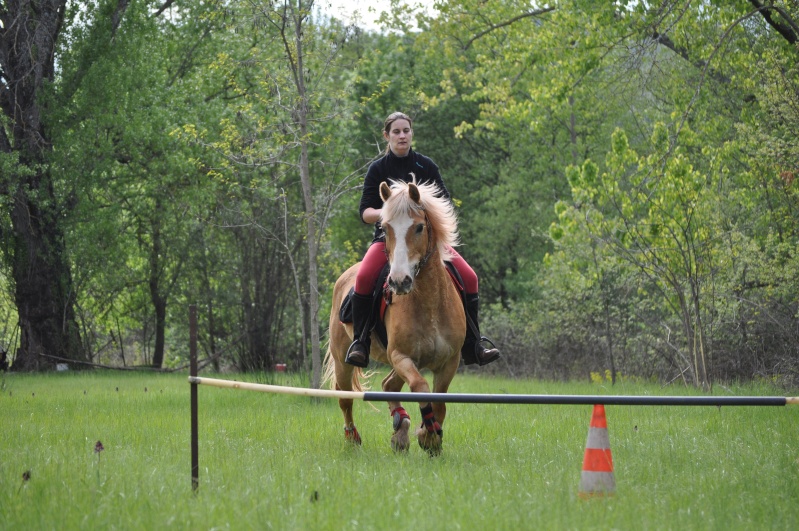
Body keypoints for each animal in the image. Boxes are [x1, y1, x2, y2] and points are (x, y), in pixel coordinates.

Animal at [322, 178, 466, 454]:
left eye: (419, 227)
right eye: (385, 228)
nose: (399, 281)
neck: (430, 303)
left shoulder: (448, 362)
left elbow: (439, 401)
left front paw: (431, 437)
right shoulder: (400, 355)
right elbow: (421, 388)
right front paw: (428, 434)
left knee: (390, 386)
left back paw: (401, 431)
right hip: (344, 358)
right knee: (345, 398)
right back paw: (354, 438)